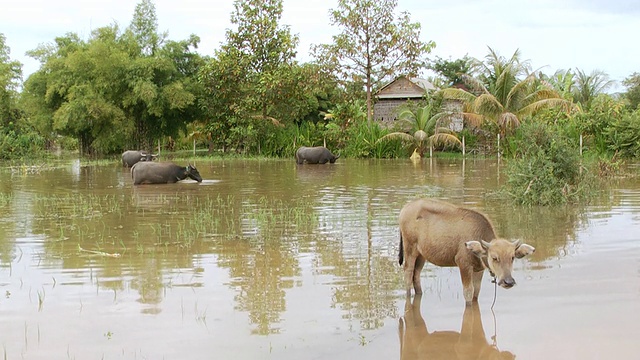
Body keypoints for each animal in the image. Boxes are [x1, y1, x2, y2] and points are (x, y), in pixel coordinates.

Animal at [400, 198, 536, 306]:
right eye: (494, 257)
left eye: (512, 257)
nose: (508, 281)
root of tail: (405, 208)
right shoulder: (463, 265)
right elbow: (468, 293)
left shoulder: (479, 269)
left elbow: (476, 292)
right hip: (410, 249)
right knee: (408, 273)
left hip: (421, 255)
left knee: (416, 275)